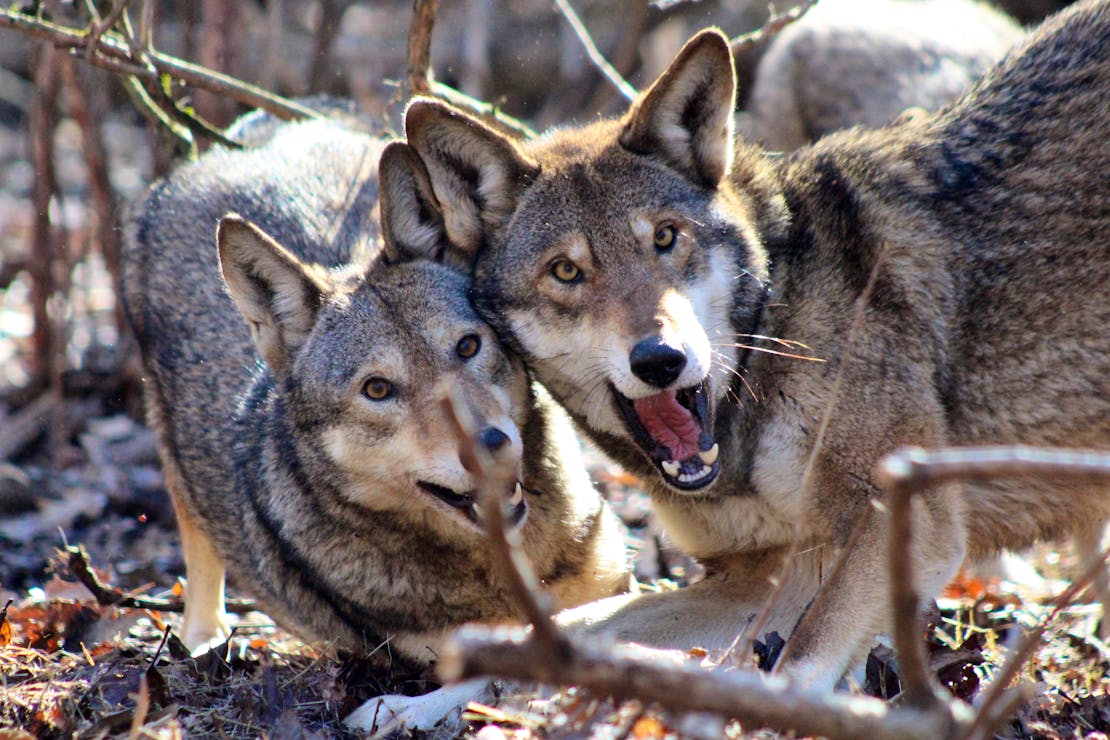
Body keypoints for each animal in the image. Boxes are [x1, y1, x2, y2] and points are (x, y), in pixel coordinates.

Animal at [119, 114, 634, 665]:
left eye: (468, 346)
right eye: (378, 389)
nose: (491, 446)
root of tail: (235, 142)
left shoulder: (611, 588)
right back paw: (202, 638)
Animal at [406, 1, 1110, 687]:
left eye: (665, 238)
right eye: (566, 271)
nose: (660, 360)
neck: (772, 334)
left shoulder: (904, 519)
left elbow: (797, 668)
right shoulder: (763, 571)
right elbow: (556, 632)